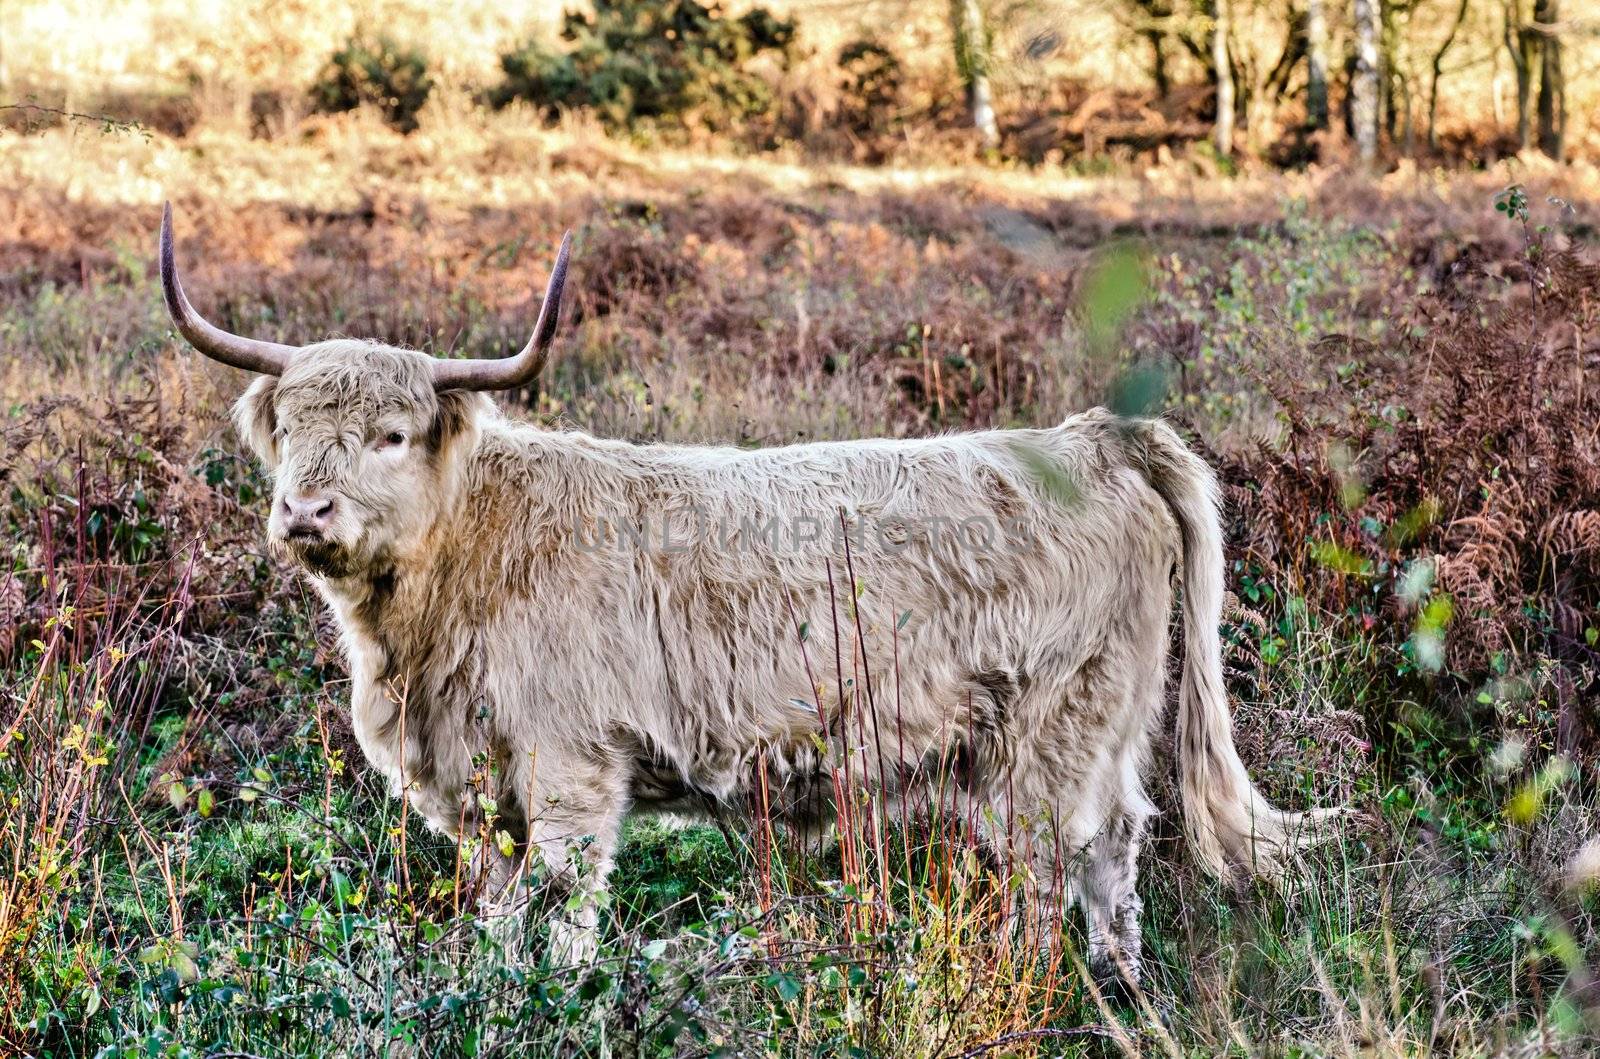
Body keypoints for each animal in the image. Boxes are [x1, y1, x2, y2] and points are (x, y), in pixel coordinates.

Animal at [162, 204, 1337, 985]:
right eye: (291, 428)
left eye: (391, 435)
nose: (304, 511)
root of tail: (1095, 434)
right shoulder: (483, 791)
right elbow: (497, 922)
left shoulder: (572, 768)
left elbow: (565, 917)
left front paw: (556, 1006)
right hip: (1109, 725)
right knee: (1119, 852)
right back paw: (1124, 994)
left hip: (1049, 732)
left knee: (1054, 867)